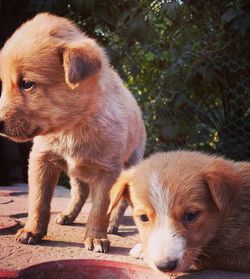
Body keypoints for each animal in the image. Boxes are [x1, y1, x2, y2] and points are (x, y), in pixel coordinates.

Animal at [0, 13, 146, 254]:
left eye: (27, 83)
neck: (72, 127)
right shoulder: (41, 159)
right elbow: (38, 200)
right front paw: (32, 231)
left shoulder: (108, 171)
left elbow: (100, 209)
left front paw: (96, 237)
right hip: (76, 171)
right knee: (80, 192)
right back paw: (68, 215)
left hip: (130, 163)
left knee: (121, 201)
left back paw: (113, 224)